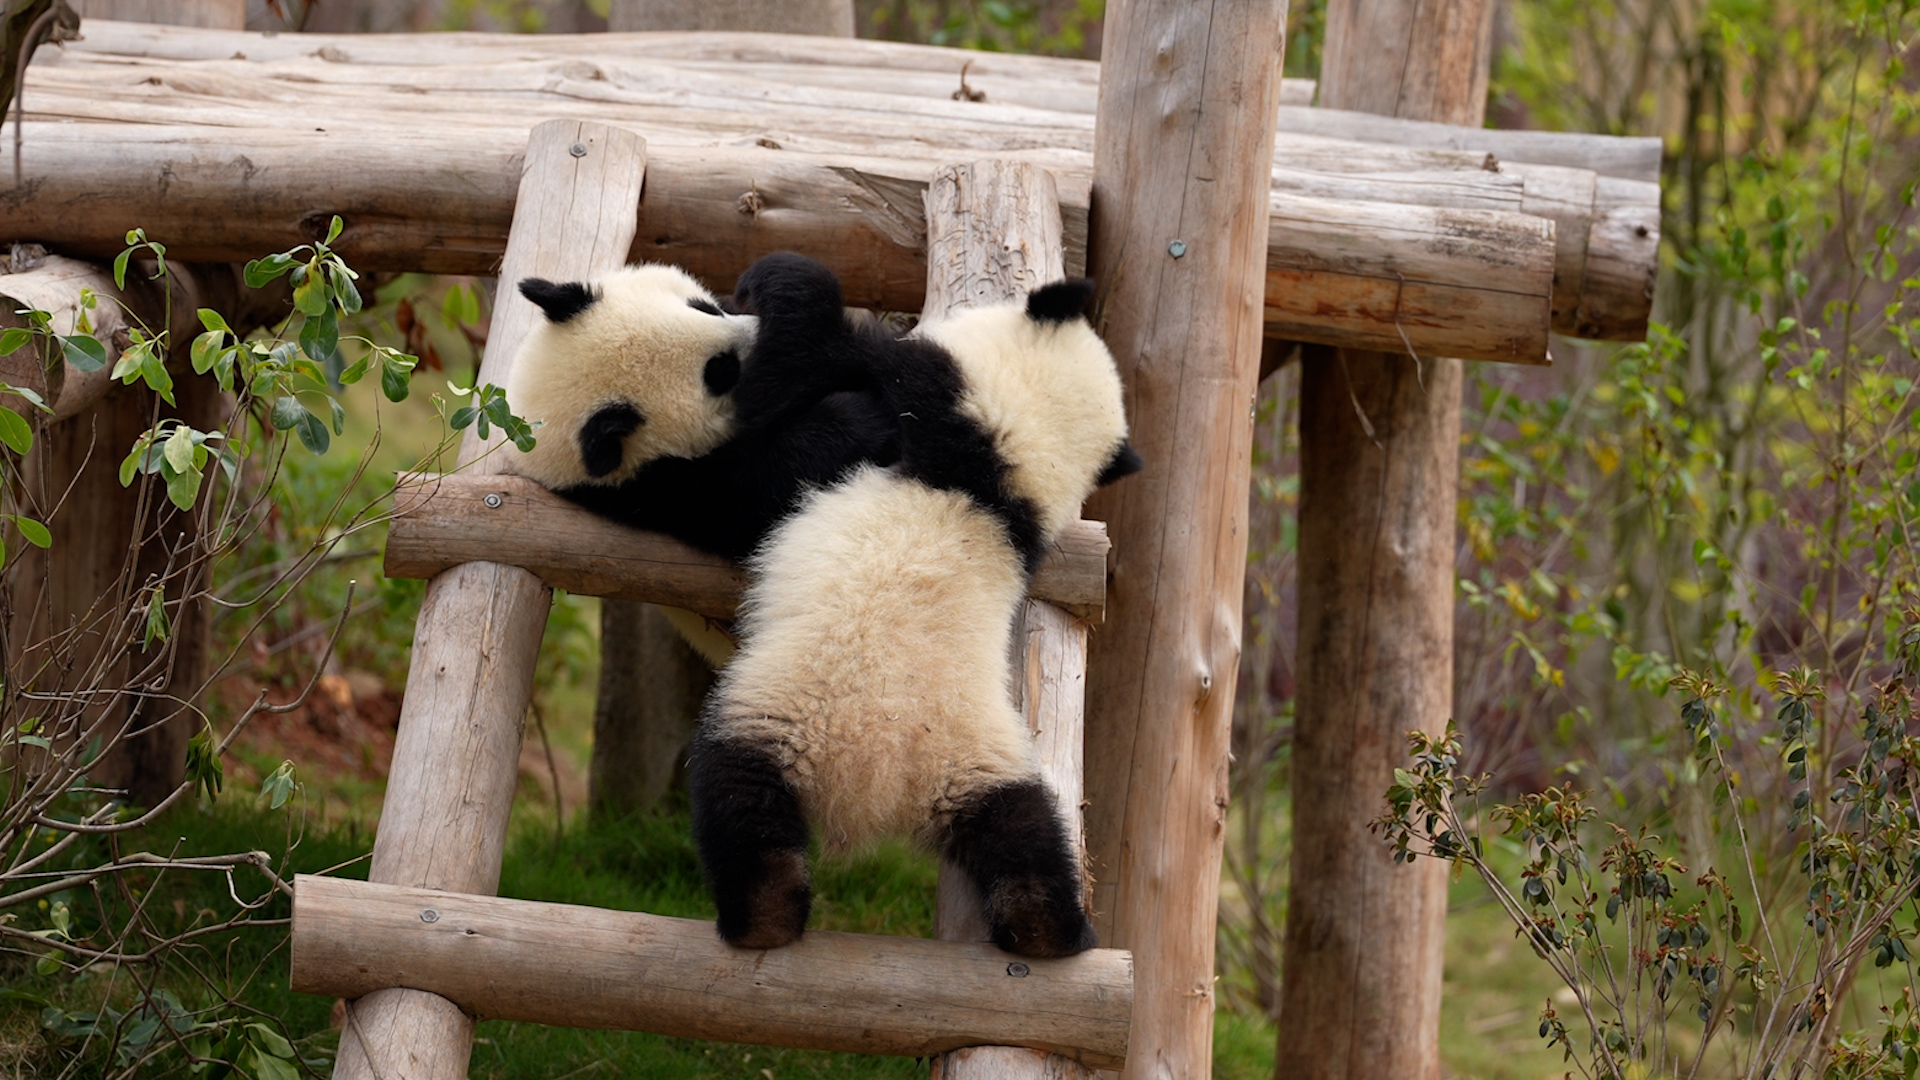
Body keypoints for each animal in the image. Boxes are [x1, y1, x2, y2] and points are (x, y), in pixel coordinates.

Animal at [686, 254, 1142, 959]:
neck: (996, 473)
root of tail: (880, 782)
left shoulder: (928, 390)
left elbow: (793, 374)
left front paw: (774, 282)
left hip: (772, 720)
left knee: (740, 805)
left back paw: (760, 919)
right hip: (985, 761)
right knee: (1026, 837)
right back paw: (1052, 932)